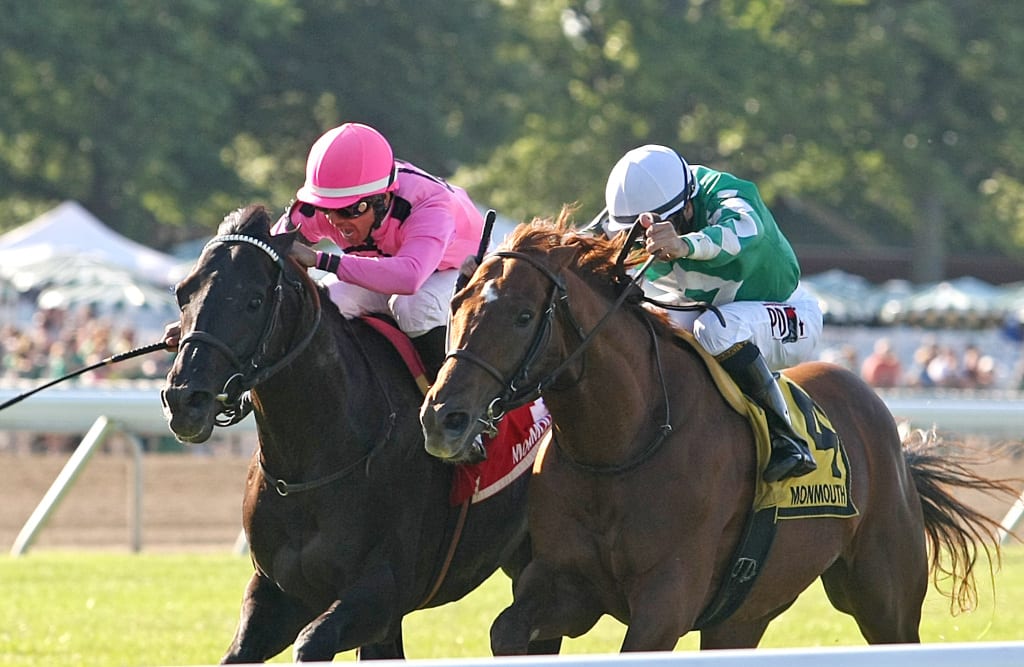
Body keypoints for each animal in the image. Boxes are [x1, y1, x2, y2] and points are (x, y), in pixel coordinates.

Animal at [160, 204, 561, 663]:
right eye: (182, 293)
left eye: (254, 300)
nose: (185, 399)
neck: (311, 461)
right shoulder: (277, 592)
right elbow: (239, 651)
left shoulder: (381, 592)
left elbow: (312, 642)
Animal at [419, 213, 1011, 651]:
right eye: (457, 303)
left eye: (522, 316)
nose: (443, 418)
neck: (621, 445)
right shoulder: (564, 583)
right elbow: (507, 629)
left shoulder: (666, 601)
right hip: (744, 613)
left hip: (883, 595)